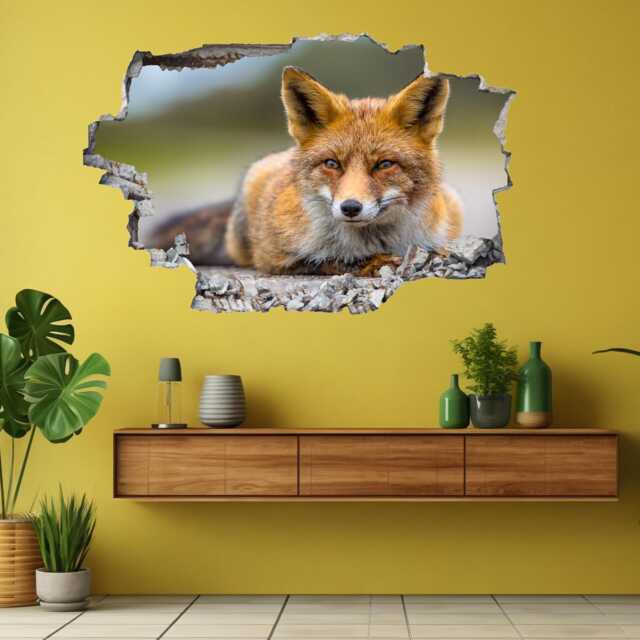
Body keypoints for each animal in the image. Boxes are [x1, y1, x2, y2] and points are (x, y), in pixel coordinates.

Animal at [224, 66, 462, 276]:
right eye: (332, 164)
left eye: (384, 164)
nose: (350, 207)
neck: (374, 241)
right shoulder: (272, 256)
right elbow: (327, 260)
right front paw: (374, 263)